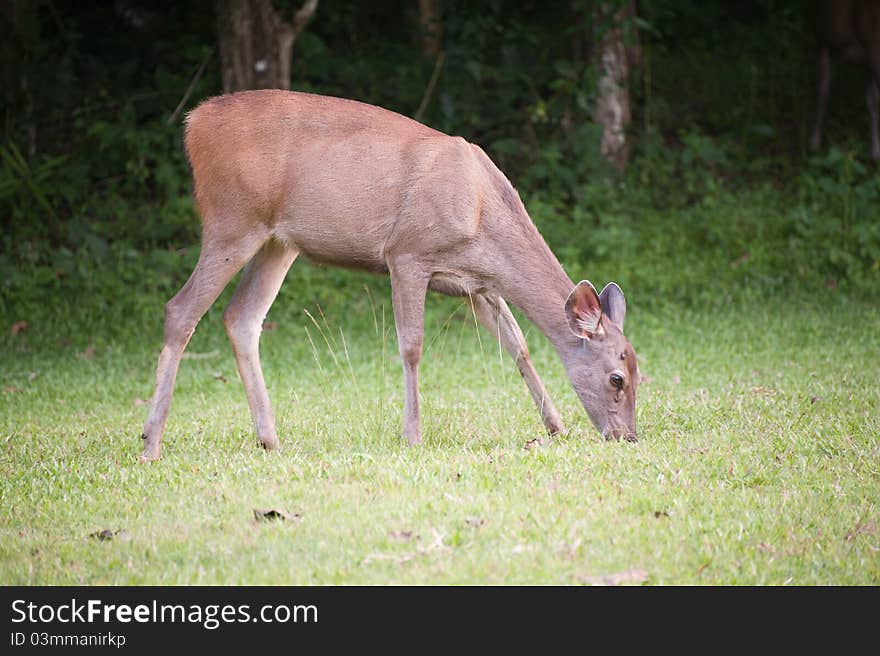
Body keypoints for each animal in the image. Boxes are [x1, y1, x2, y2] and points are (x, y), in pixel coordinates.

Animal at [138, 89, 640, 464]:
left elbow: (518, 345)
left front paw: (555, 426)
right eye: (617, 378)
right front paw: (413, 435)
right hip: (231, 219)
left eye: (641, 371)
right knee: (180, 310)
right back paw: (150, 443)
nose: (627, 437)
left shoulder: (476, 283)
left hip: (279, 242)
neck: (481, 210)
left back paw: (270, 439)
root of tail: (193, 123)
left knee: (241, 318)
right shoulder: (407, 254)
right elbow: (412, 346)